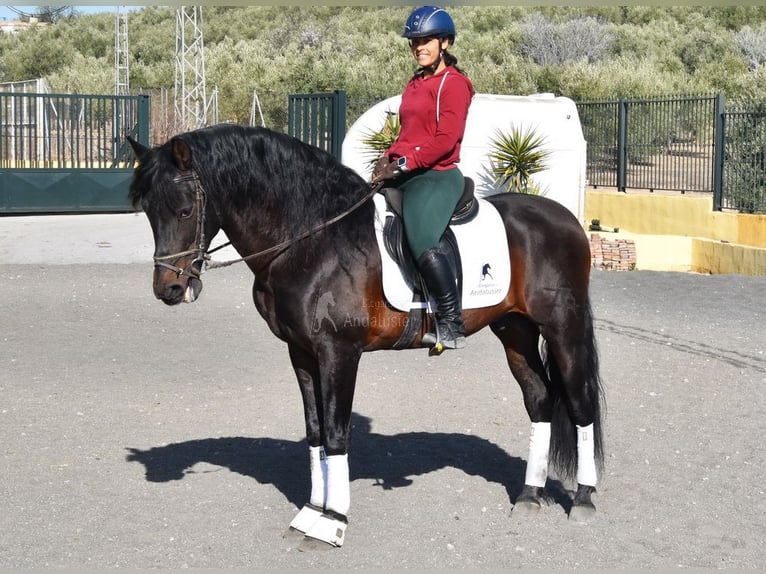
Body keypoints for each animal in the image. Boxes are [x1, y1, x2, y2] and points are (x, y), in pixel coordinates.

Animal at [127, 125, 608, 548]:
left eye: (185, 210)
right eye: (148, 211)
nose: (168, 289)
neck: (311, 238)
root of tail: (563, 217)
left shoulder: (339, 352)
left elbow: (338, 434)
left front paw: (333, 522)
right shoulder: (301, 353)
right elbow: (316, 431)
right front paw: (312, 511)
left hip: (562, 328)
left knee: (579, 403)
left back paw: (584, 498)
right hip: (514, 330)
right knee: (539, 398)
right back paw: (529, 494)